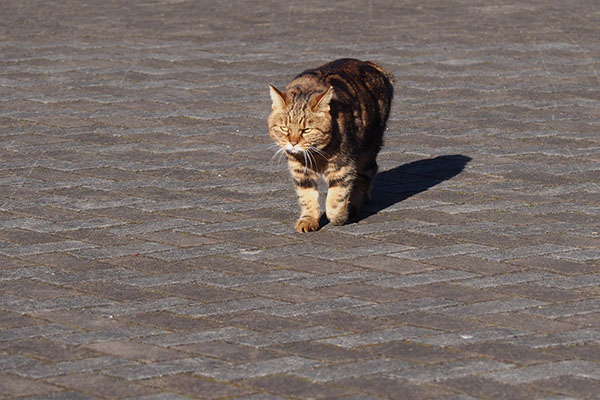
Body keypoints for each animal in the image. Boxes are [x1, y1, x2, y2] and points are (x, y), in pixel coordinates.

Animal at [268, 58, 394, 233]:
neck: (315, 155)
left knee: (367, 172)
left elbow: (336, 199)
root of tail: (371, 64)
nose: (293, 143)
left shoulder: (342, 167)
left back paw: (354, 204)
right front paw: (308, 220)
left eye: (306, 130)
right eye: (284, 128)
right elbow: (306, 197)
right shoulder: (299, 170)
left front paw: (338, 217)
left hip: (368, 147)